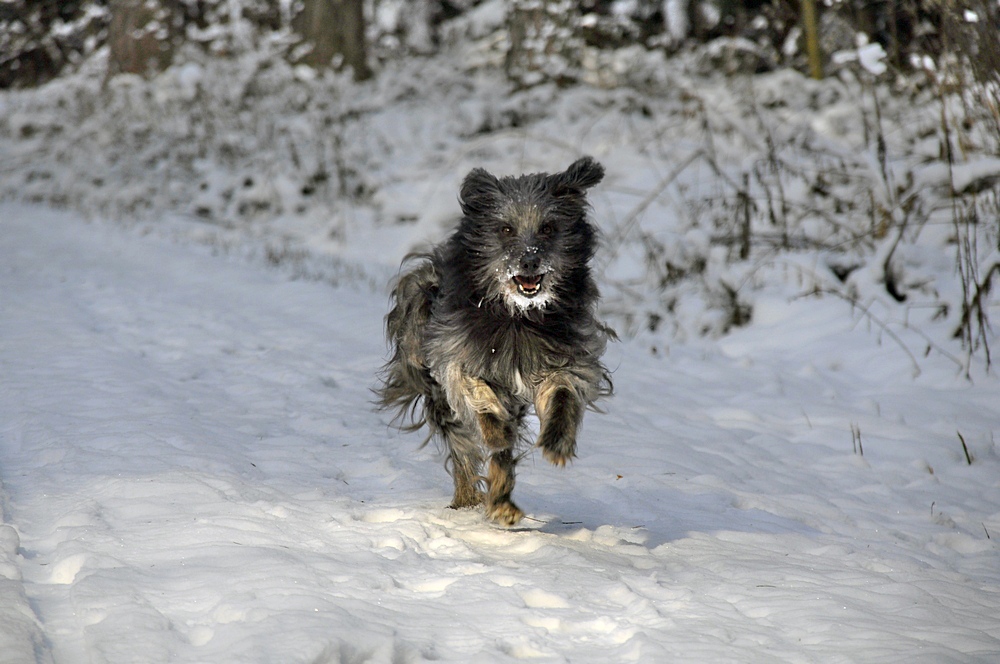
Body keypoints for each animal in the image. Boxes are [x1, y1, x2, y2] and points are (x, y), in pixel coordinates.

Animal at [376, 156, 608, 524]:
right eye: (505, 229)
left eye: (548, 228)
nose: (530, 261)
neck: (517, 317)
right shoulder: (457, 358)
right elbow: (479, 395)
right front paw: (495, 426)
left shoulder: (565, 359)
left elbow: (562, 391)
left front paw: (557, 441)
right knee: (467, 450)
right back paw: (473, 494)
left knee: (501, 459)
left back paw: (502, 502)